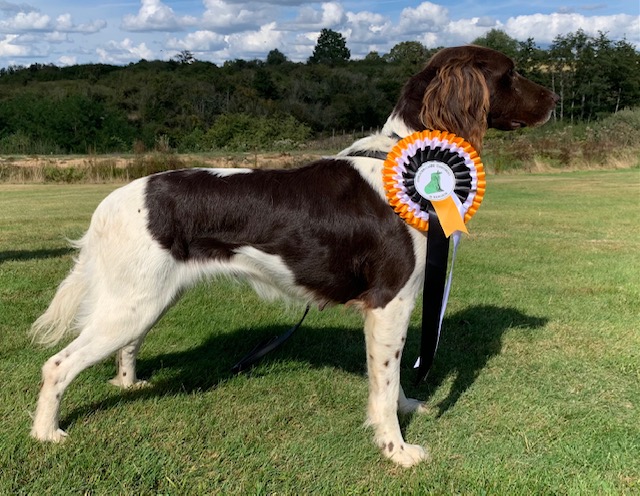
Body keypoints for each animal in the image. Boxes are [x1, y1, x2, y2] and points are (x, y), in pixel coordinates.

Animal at [30, 44, 556, 466]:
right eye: (510, 73)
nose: (553, 99)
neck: (408, 162)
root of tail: (112, 201)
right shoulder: (391, 299)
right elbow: (384, 384)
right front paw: (397, 450)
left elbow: (392, 381)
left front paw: (408, 410)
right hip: (133, 303)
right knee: (58, 365)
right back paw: (45, 433)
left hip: (150, 298)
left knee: (126, 346)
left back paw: (128, 386)